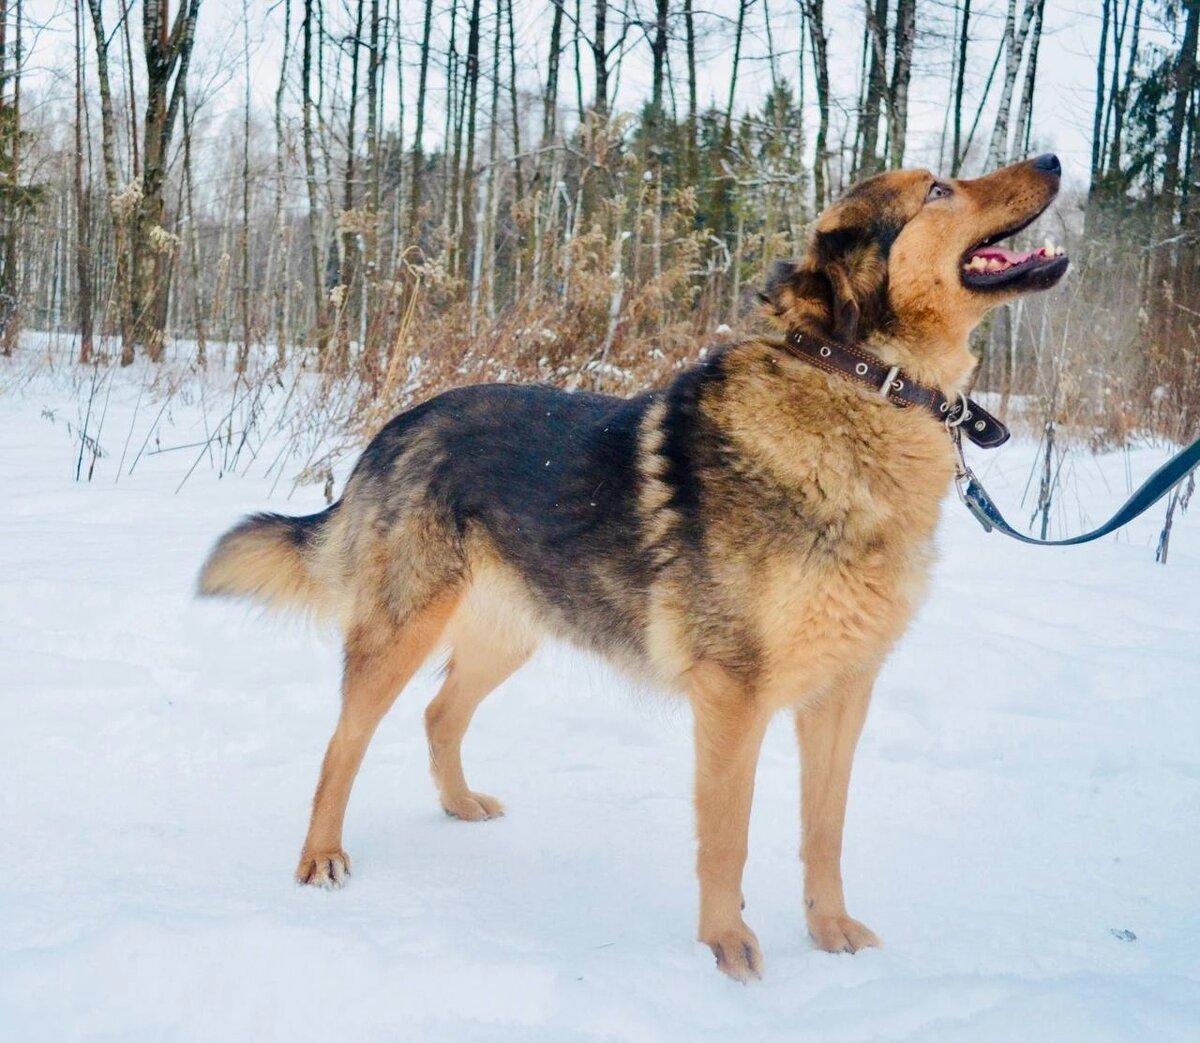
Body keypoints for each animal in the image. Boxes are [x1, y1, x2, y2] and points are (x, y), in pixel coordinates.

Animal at [196, 152, 1070, 974]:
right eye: (938, 190)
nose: (1056, 161)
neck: (860, 389)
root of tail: (395, 427)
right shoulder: (733, 698)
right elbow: (728, 837)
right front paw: (725, 946)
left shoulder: (842, 694)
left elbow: (825, 833)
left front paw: (829, 932)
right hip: (401, 633)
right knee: (342, 743)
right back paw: (320, 854)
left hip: (513, 632)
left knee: (440, 713)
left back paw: (460, 805)